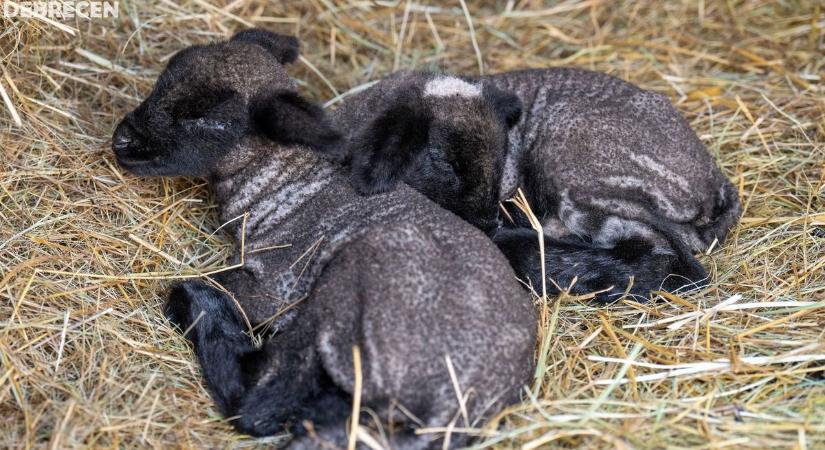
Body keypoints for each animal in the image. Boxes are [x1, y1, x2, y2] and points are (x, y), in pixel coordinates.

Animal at [109, 29, 536, 450]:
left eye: (211, 120)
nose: (122, 141)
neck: (281, 180)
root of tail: (452, 411)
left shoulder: (277, 286)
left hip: (345, 288)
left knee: (262, 399)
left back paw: (197, 305)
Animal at [330, 70, 740, 300]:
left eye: (501, 155)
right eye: (441, 160)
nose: (488, 223)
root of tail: (716, 185)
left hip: (578, 165)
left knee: (659, 242)